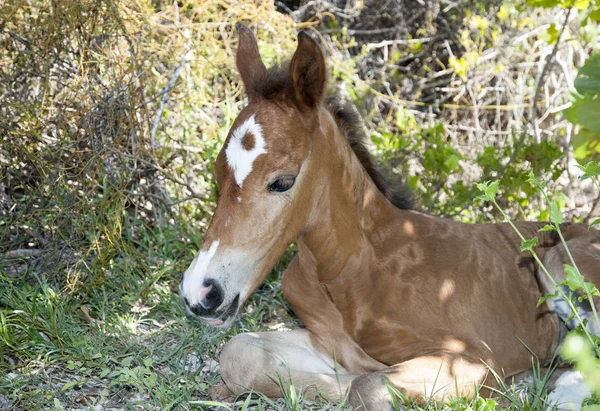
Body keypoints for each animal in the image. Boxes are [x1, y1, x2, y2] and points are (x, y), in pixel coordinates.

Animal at [179, 25, 600, 408]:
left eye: (282, 181)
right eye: (217, 173)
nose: (200, 293)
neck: (356, 270)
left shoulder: (472, 358)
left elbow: (364, 387)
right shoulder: (323, 340)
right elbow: (240, 353)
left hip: (560, 263)